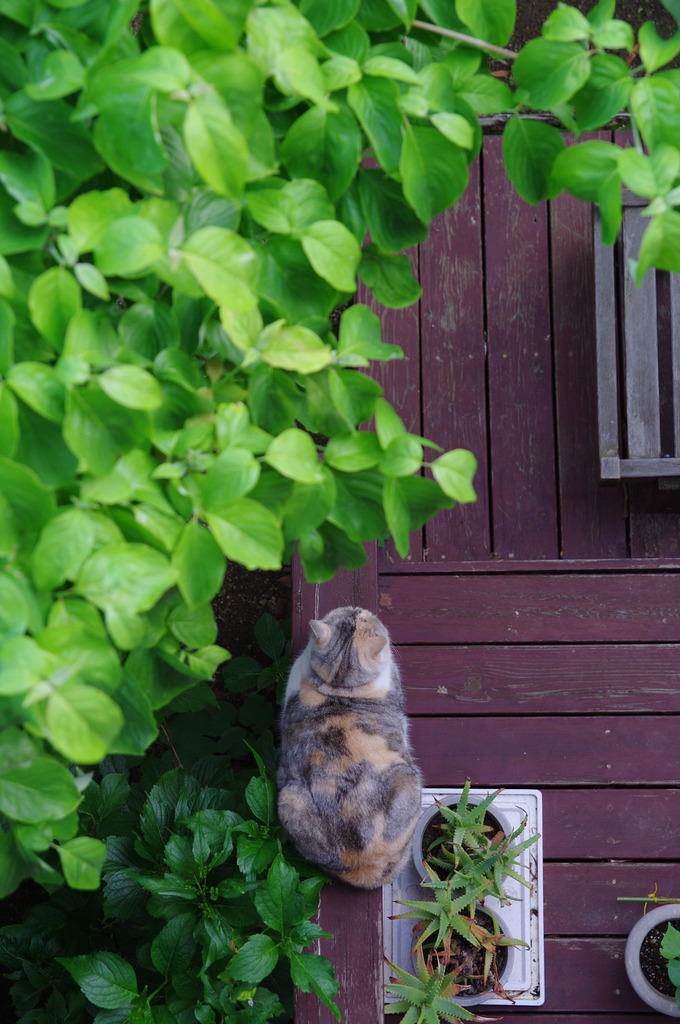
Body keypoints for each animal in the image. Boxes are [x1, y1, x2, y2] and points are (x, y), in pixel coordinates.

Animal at [276, 606, 419, 888]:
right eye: (361, 618)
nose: (360, 609)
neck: (339, 686)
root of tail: (362, 867)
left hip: (289, 797)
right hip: (408, 778)